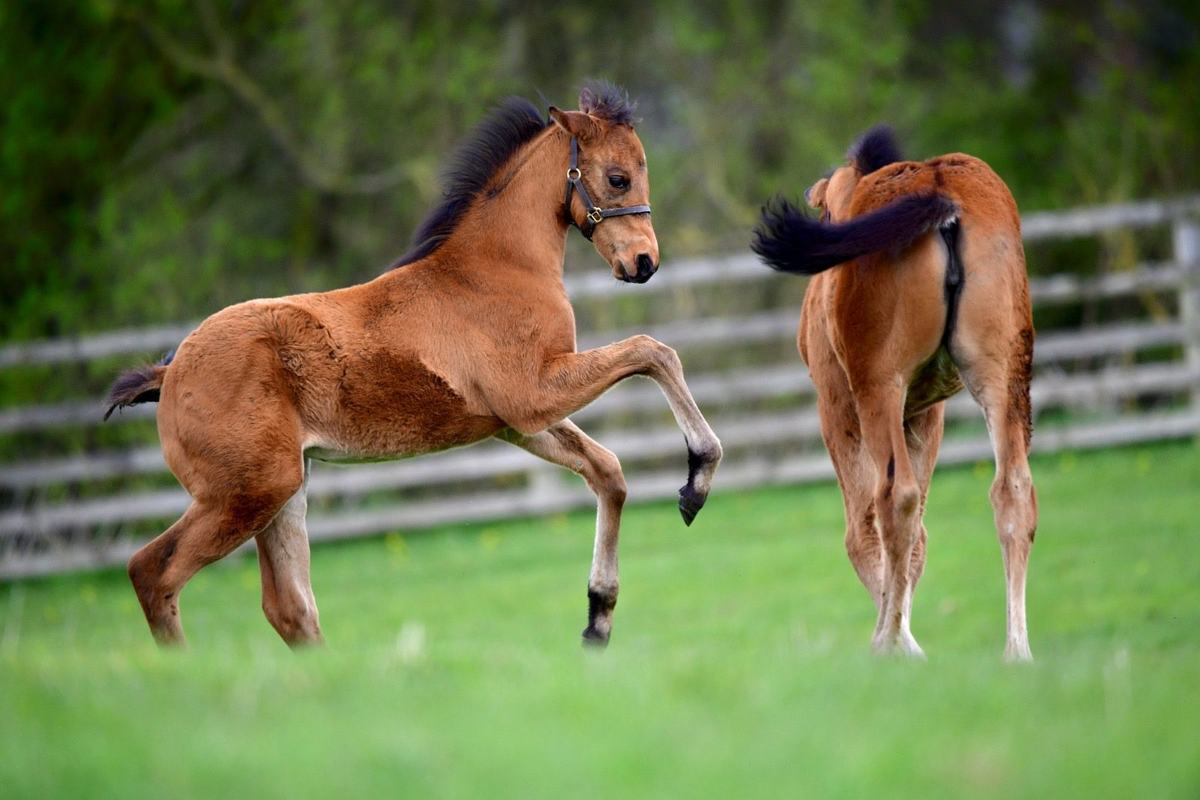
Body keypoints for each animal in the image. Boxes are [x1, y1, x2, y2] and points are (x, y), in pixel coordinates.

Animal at [105, 83, 723, 649]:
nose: (644, 262)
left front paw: (599, 616)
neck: (495, 269)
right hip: (245, 493)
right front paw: (697, 478)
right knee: (153, 572)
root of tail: (172, 371)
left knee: (290, 609)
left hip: (283, 493)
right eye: (618, 178)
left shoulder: (514, 422)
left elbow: (609, 472)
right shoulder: (532, 394)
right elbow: (652, 351)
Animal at [752, 126, 1036, 661]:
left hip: (877, 386)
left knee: (893, 500)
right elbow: (920, 538)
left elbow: (863, 529)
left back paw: (887, 640)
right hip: (1005, 374)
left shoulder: (838, 409)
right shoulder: (926, 414)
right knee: (1012, 491)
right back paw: (1017, 653)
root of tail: (937, 187)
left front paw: (897, 641)